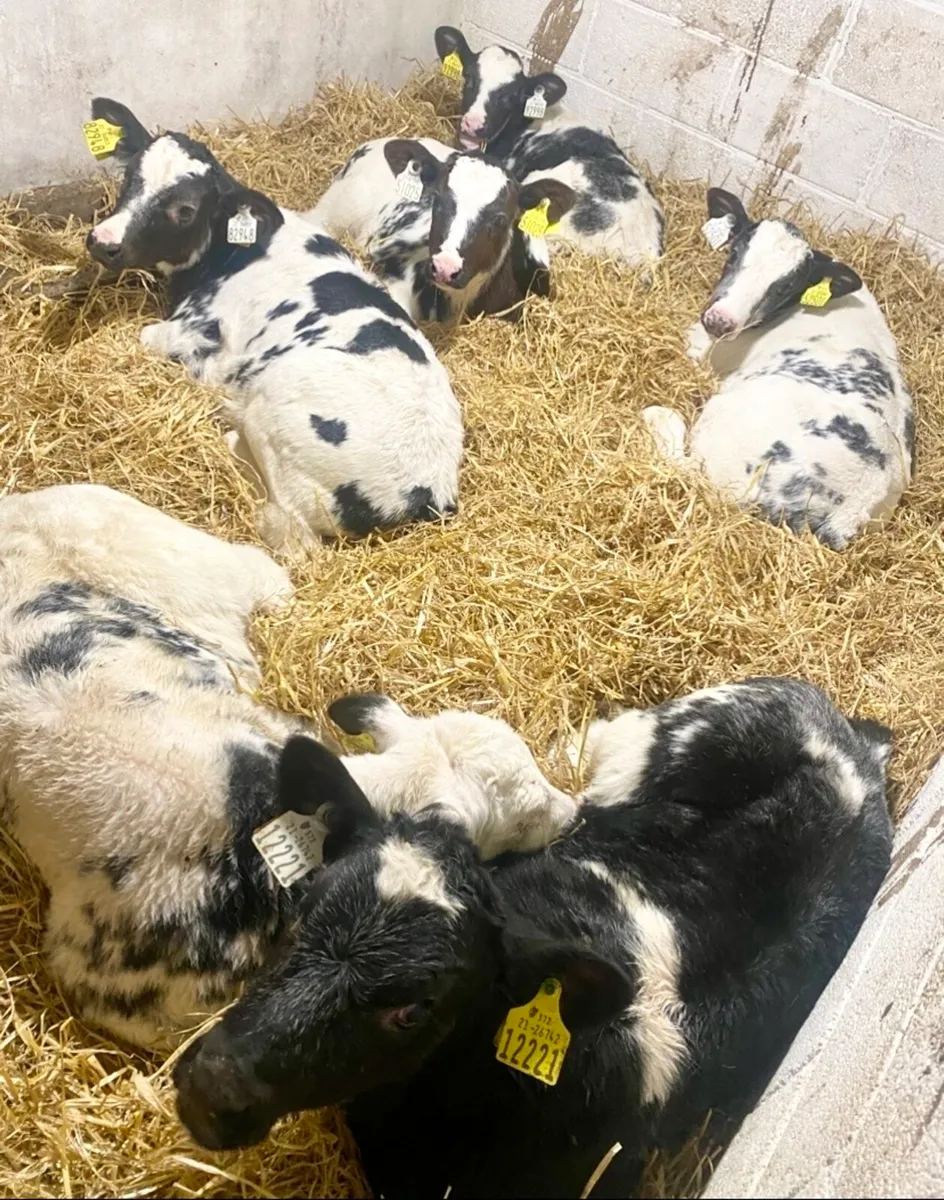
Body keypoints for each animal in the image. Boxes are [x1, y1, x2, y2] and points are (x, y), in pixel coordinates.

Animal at [84, 99, 463, 552]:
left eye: (185, 211)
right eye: (130, 178)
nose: (103, 241)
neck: (231, 252)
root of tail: (427, 493)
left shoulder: (197, 332)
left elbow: (150, 338)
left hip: (277, 401)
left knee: (289, 529)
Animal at [643, 188, 914, 549]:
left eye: (785, 286)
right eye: (734, 252)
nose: (720, 321)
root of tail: (854, 507)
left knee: (687, 464)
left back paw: (659, 416)